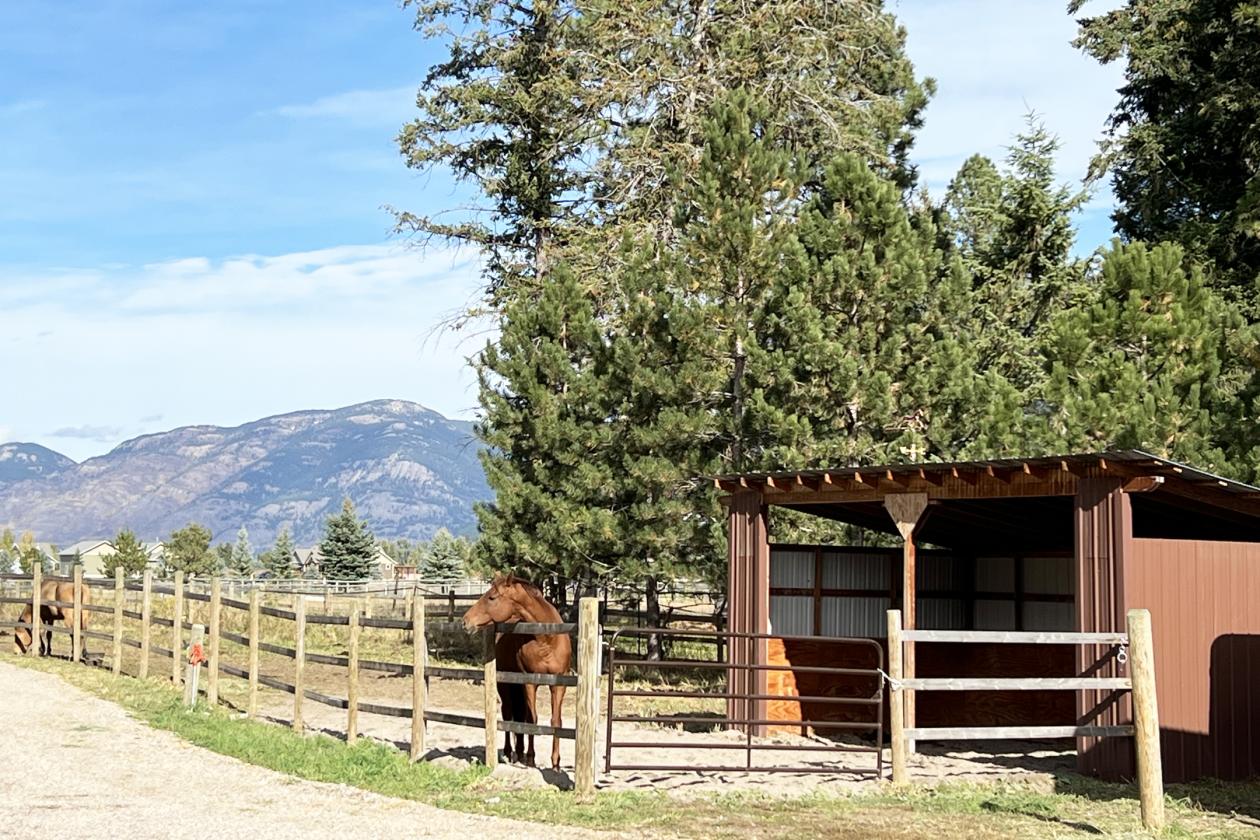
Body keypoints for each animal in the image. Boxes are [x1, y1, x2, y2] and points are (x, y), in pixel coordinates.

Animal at [462, 574, 572, 770]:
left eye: (492, 597)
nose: (465, 621)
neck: (547, 638)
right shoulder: (530, 682)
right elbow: (532, 720)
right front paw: (531, 758)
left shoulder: (559, 684)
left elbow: (556, 721)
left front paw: (555, 763)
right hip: (505, 685)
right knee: (508, 714)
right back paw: (510, 752)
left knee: (518, 715)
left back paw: (519, 753)